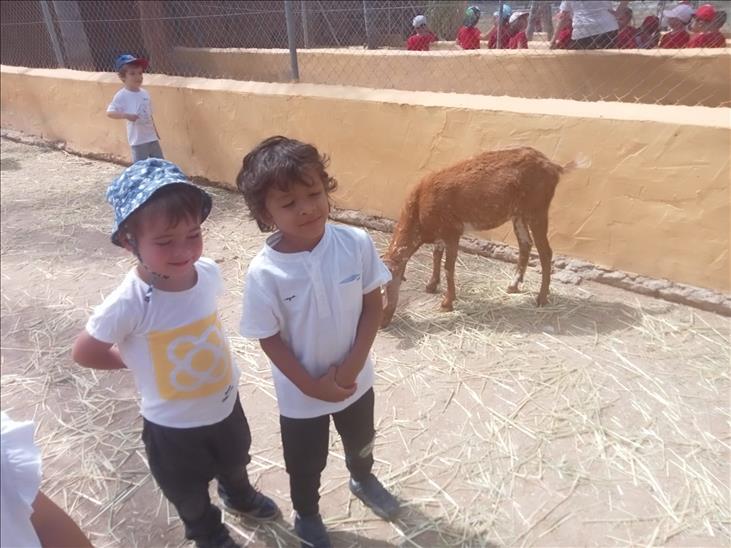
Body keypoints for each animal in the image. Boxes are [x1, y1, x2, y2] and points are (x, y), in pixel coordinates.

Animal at [381, 147, 584, 328]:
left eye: (384, 289)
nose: (382, 324)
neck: (419, 211)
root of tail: (555, 167)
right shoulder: (440, 233)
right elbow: (436, 256)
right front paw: (431, 286)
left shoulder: (452, 230)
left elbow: (449, 267)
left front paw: (447, 303)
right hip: (518, 213)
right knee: (525, 243)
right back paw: (513, 286)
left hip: (538, 208)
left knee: (545, 251)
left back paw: (541, 298)